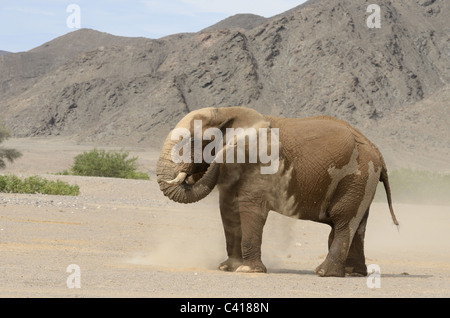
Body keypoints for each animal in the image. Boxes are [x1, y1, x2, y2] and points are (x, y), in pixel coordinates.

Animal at [156, 106, 400, 276]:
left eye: (192, 142)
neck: (227, 111)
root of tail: (377, 152)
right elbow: (228, 211)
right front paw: (227, 268)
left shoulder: (261, 165)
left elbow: (251, 210)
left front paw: (247, 271)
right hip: (362, 181)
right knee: (358, 225)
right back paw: (354, 273)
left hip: (357, 176)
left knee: (343, 221)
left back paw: (324, 273)